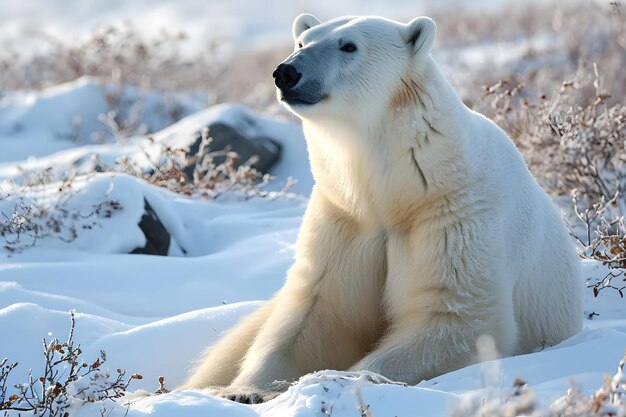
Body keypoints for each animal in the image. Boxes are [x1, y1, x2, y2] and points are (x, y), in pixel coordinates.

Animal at [179, 14, 580, 402]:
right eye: (302, 42)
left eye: (349, 45)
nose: (286, 73)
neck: (400, 191)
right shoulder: (344, 218)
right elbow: (316, 314)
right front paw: (243, 391)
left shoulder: (457, 216)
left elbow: (456, 317)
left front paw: (343, 379)